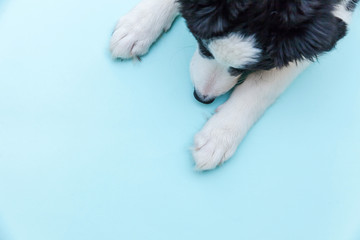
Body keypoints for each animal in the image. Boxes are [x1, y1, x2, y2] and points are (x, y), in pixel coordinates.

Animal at [109, 0, 358, 172]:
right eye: (203, 46)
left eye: (246, 68)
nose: (202, 97)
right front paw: (140, 25)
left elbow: (263, 85)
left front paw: (220, 134)